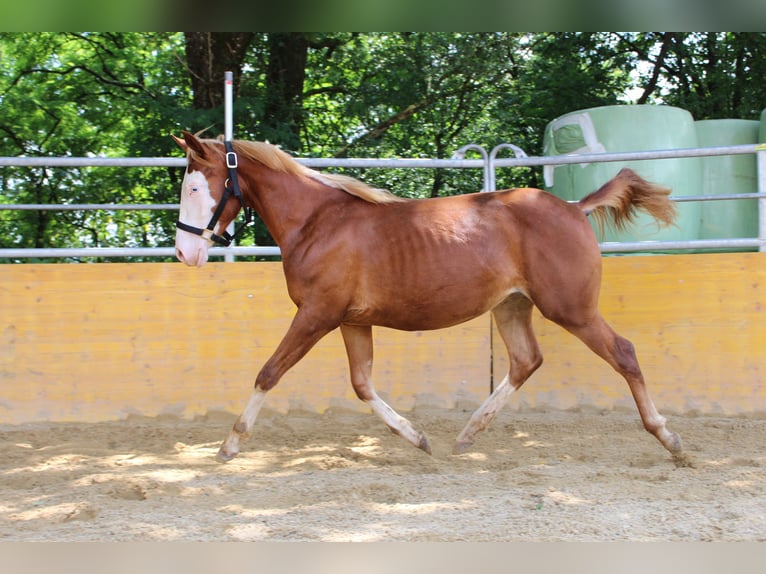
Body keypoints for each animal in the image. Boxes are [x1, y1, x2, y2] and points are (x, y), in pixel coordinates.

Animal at [172, 130, 684, 464]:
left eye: (196, 186)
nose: (183, 252)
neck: (316, 222)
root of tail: (575, 208)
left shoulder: (317, 315)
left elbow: (269, 372)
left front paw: (230, 444)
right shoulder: (351, 320)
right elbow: (362, 385)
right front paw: (418, 438)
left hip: (572, 309)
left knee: (624, 353)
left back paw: (670, 440)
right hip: (512, 305)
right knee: (526, 361)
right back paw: (467, 434)